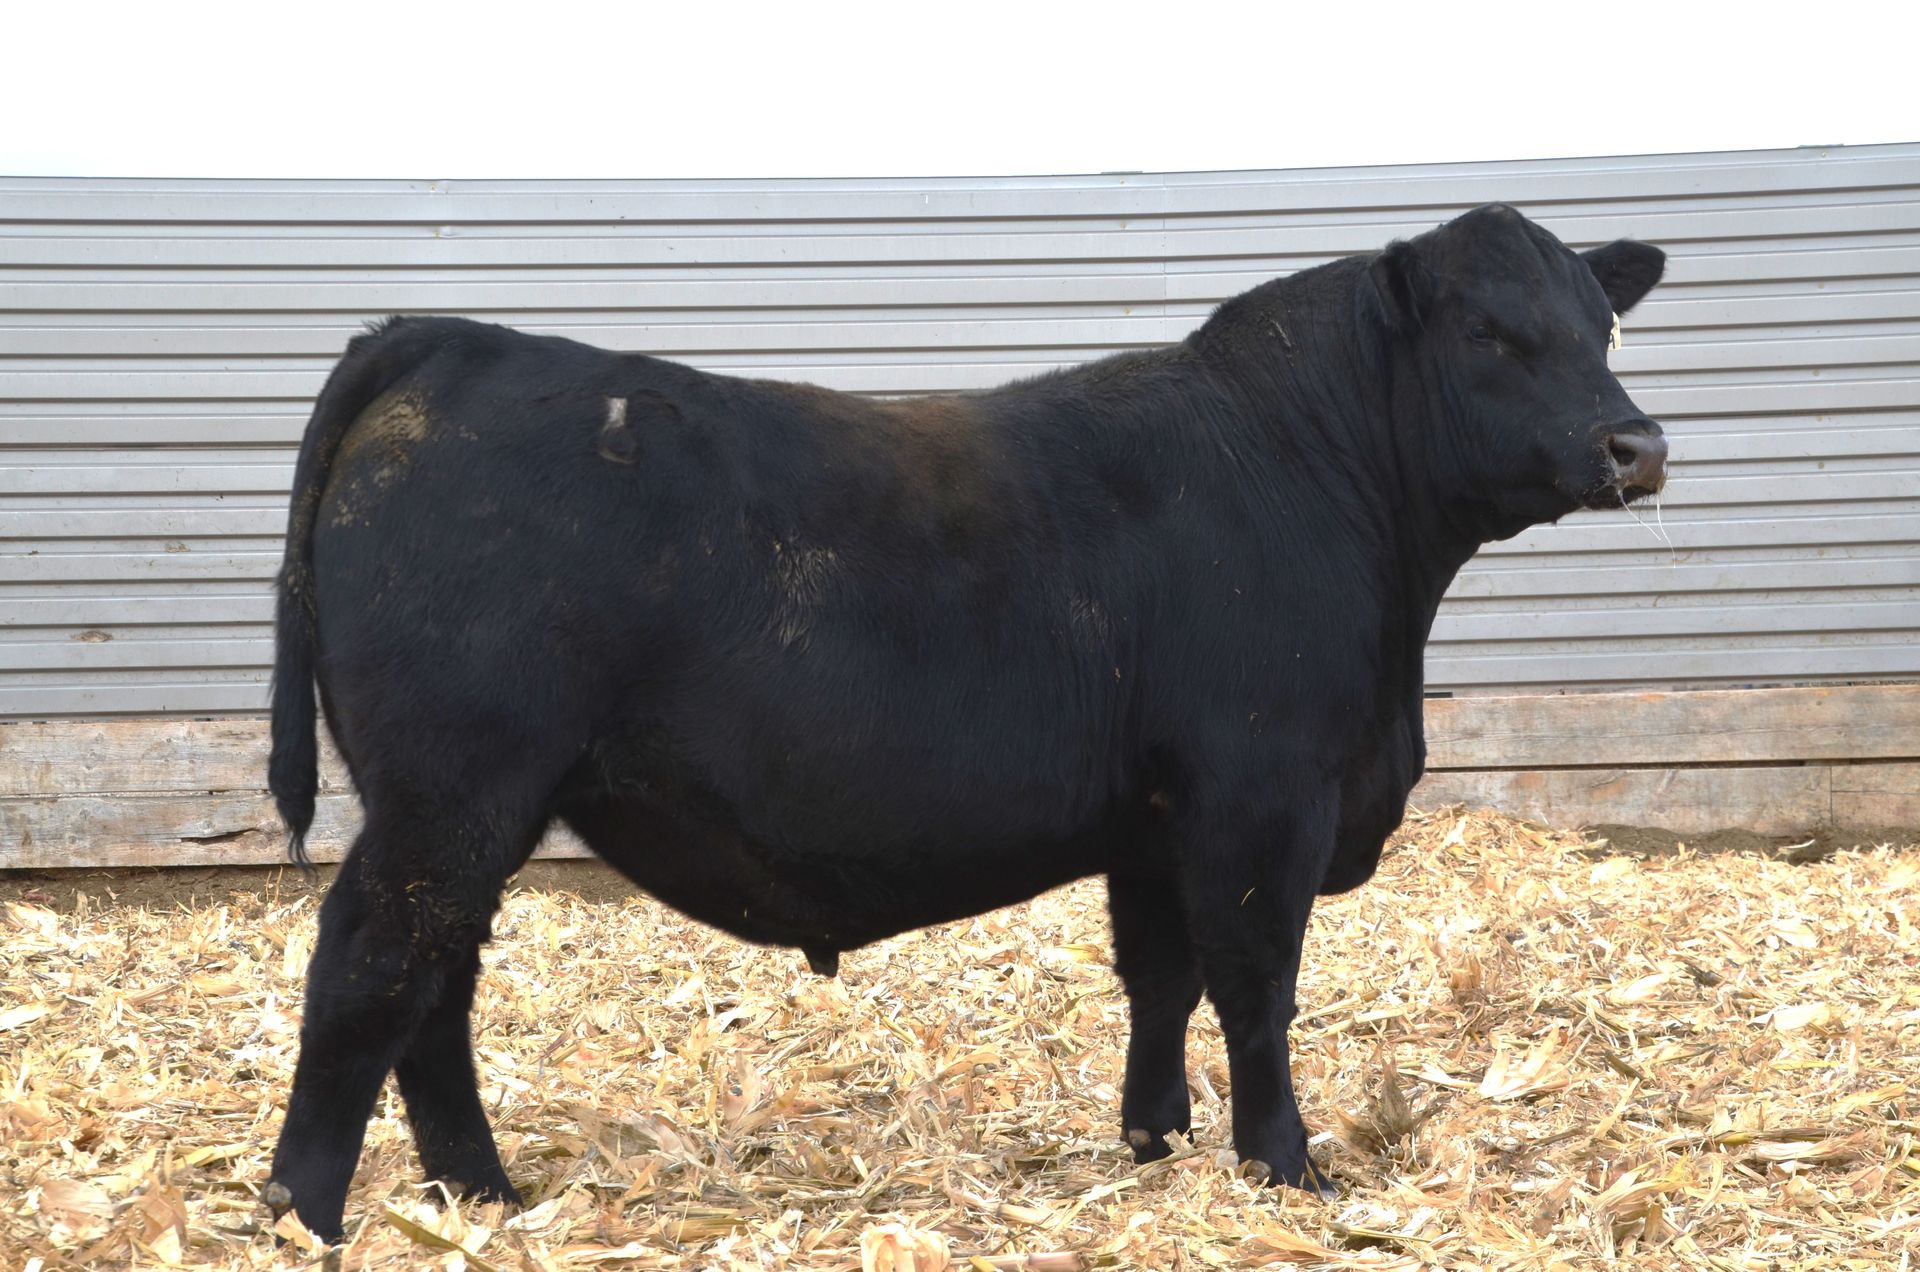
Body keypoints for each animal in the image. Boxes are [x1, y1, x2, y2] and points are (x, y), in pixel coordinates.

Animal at [262, 204, 1666, 1240]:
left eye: (1602, 326)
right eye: (1490, 332)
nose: (1636, 444)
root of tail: (451, 341)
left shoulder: (1155, 817)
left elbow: (1160, 977)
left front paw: (1155, 1141)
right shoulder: (1263, 796)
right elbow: (1256, 985)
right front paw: (1286, 1164)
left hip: (462, 806)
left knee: (436, 981)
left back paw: (479, 1195)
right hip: (454, 789)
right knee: (371, 968)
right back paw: (306, 1214)